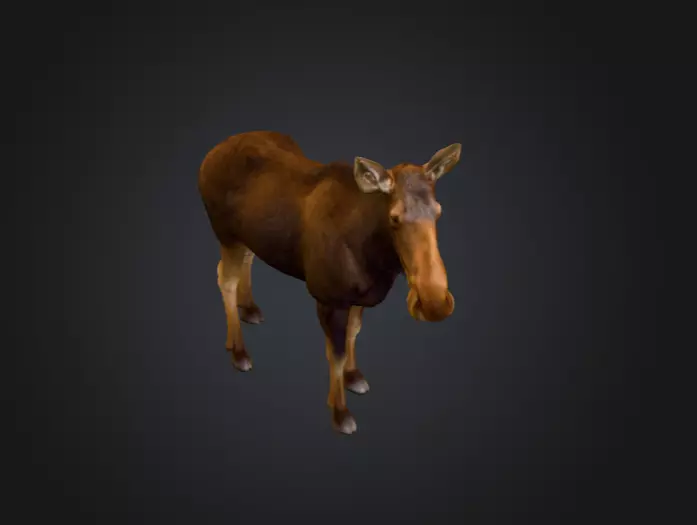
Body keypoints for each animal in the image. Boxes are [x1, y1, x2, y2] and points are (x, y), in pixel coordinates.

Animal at [198, 131, 462, 434]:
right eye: (394, 217)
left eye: (438, 211)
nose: (434, 302)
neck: (376, 261)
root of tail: (211, 154)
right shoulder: (328, 299)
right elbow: (335, 354)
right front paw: (340, 412)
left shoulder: (358, 297)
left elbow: (353, 334)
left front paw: (354, 376)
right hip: (226, 234)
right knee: (224, 278)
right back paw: (239, 351)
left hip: (248, 236)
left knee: (247, 261)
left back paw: (250, 309)